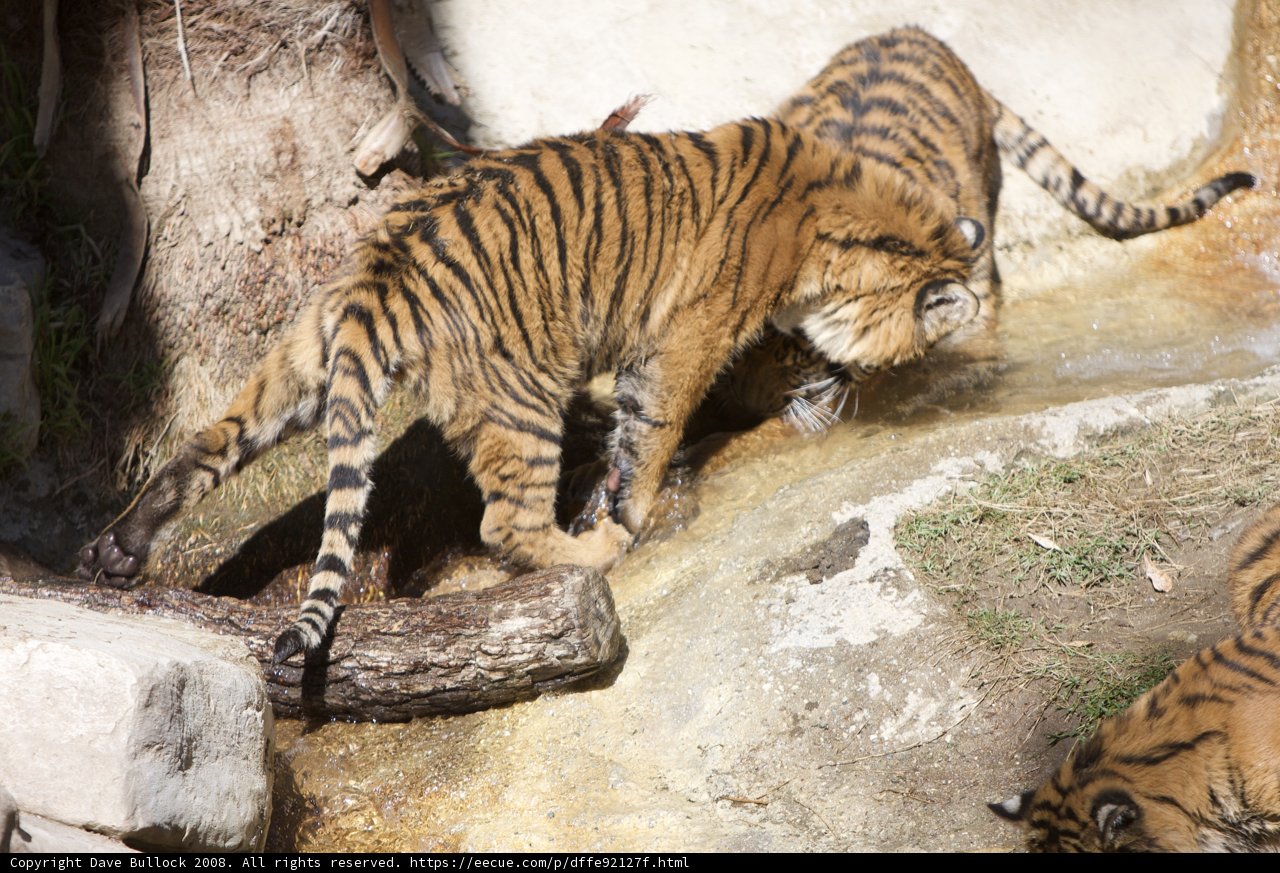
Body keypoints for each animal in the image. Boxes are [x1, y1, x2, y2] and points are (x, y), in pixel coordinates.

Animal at [76, 116, 986, 663]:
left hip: (303, 361)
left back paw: (117, 549)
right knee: (505, 524)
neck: (839, 220)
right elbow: (656, 430)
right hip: (522, 400)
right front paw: (630, 509)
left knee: (205, 444)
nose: (841, 385)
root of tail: (382, 271)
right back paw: (596, 549)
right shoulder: (686, 338)